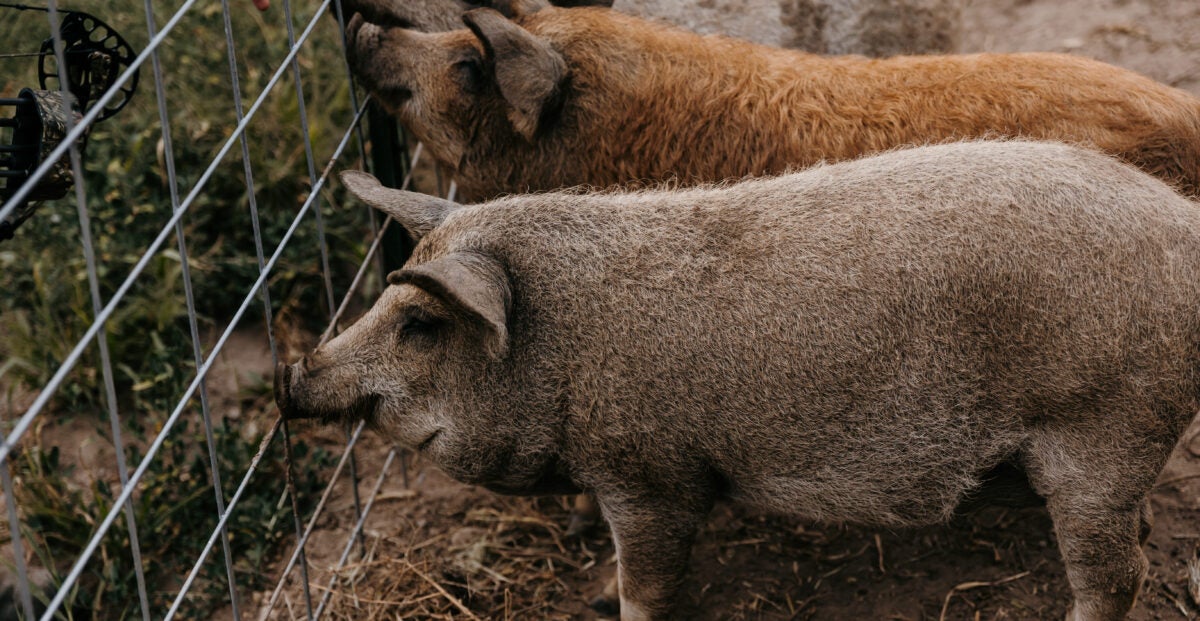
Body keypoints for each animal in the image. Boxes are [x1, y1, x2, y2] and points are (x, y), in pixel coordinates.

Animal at [272, 142, 1200, 621]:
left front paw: (614, 601)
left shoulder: (653, 473)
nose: (294, 370)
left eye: (421, 323)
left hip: (1105, 430)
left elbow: (647, 581)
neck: (565, 346)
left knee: (1116, 579)